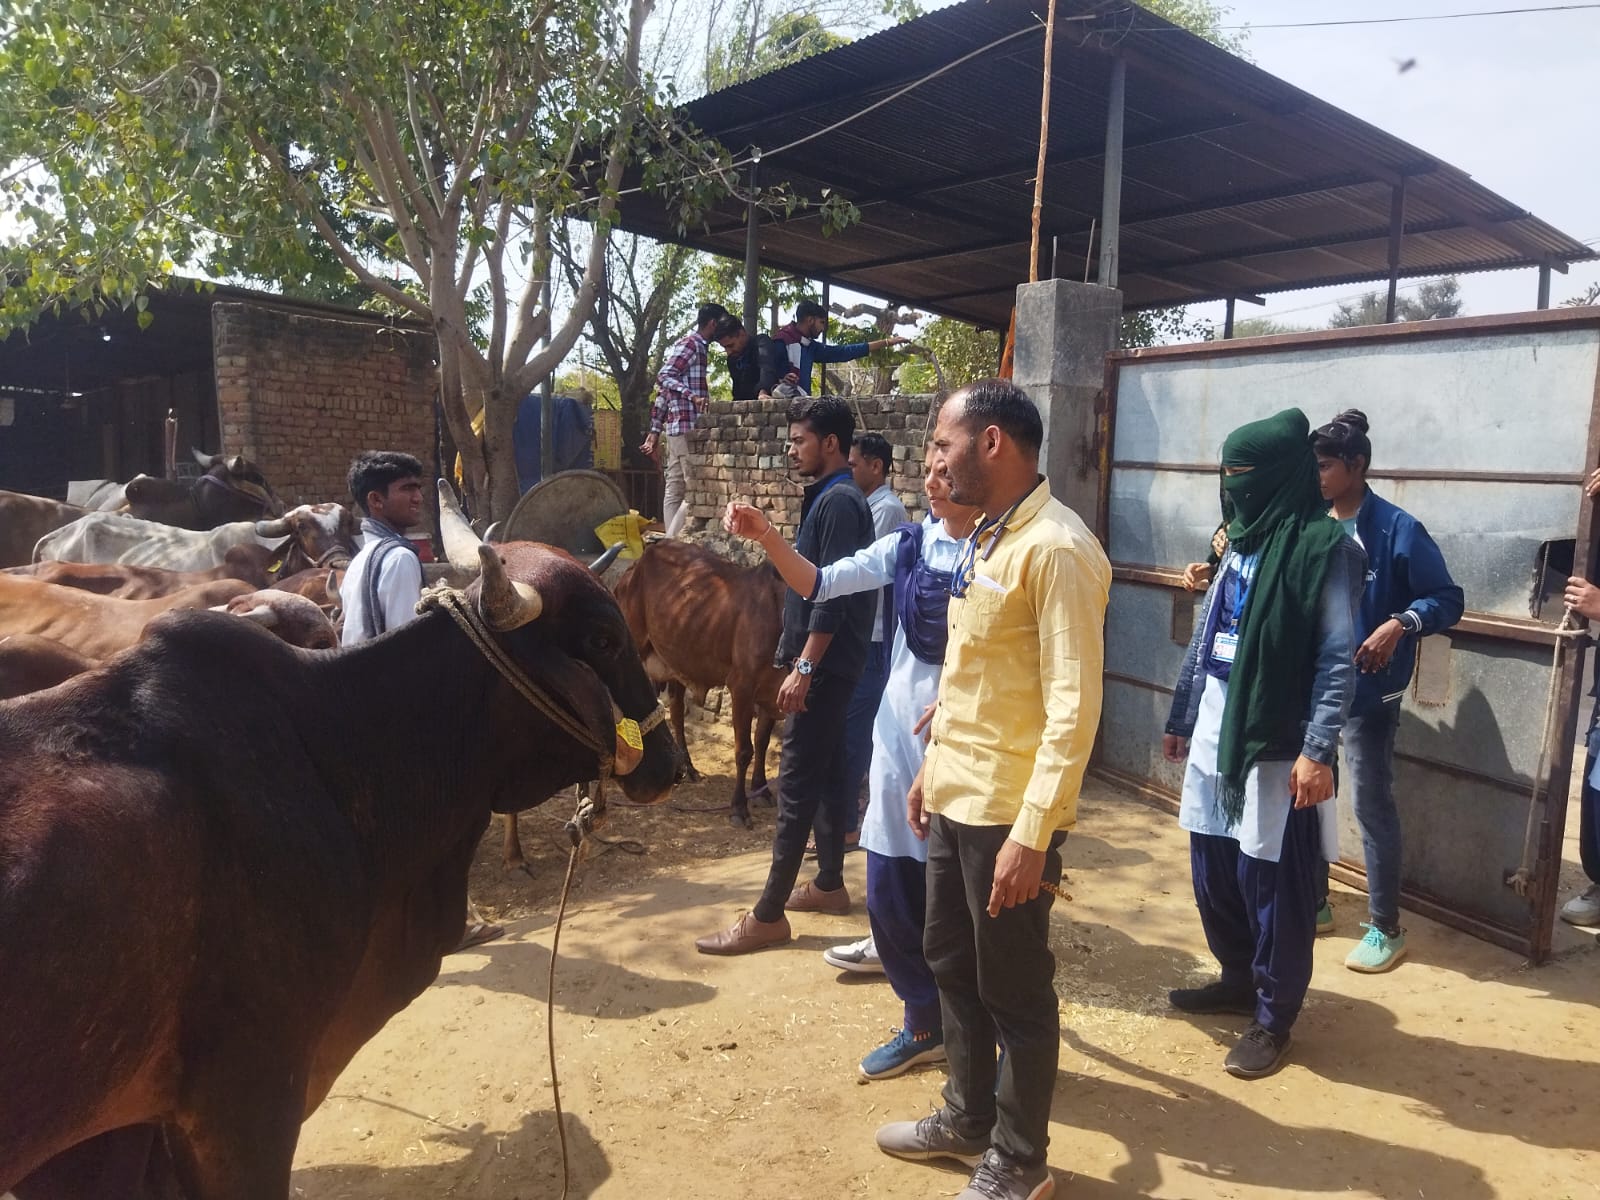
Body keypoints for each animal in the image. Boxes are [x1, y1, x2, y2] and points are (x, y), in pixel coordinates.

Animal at [611, 544, 787, 832]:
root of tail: (635, 566)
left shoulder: (772, 692)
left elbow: (762, 741)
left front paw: (761, 790)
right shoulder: (742, 686)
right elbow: (744, 750)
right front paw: (739, 808)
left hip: (676, 659)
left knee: (676, 712)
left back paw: (688, 767)